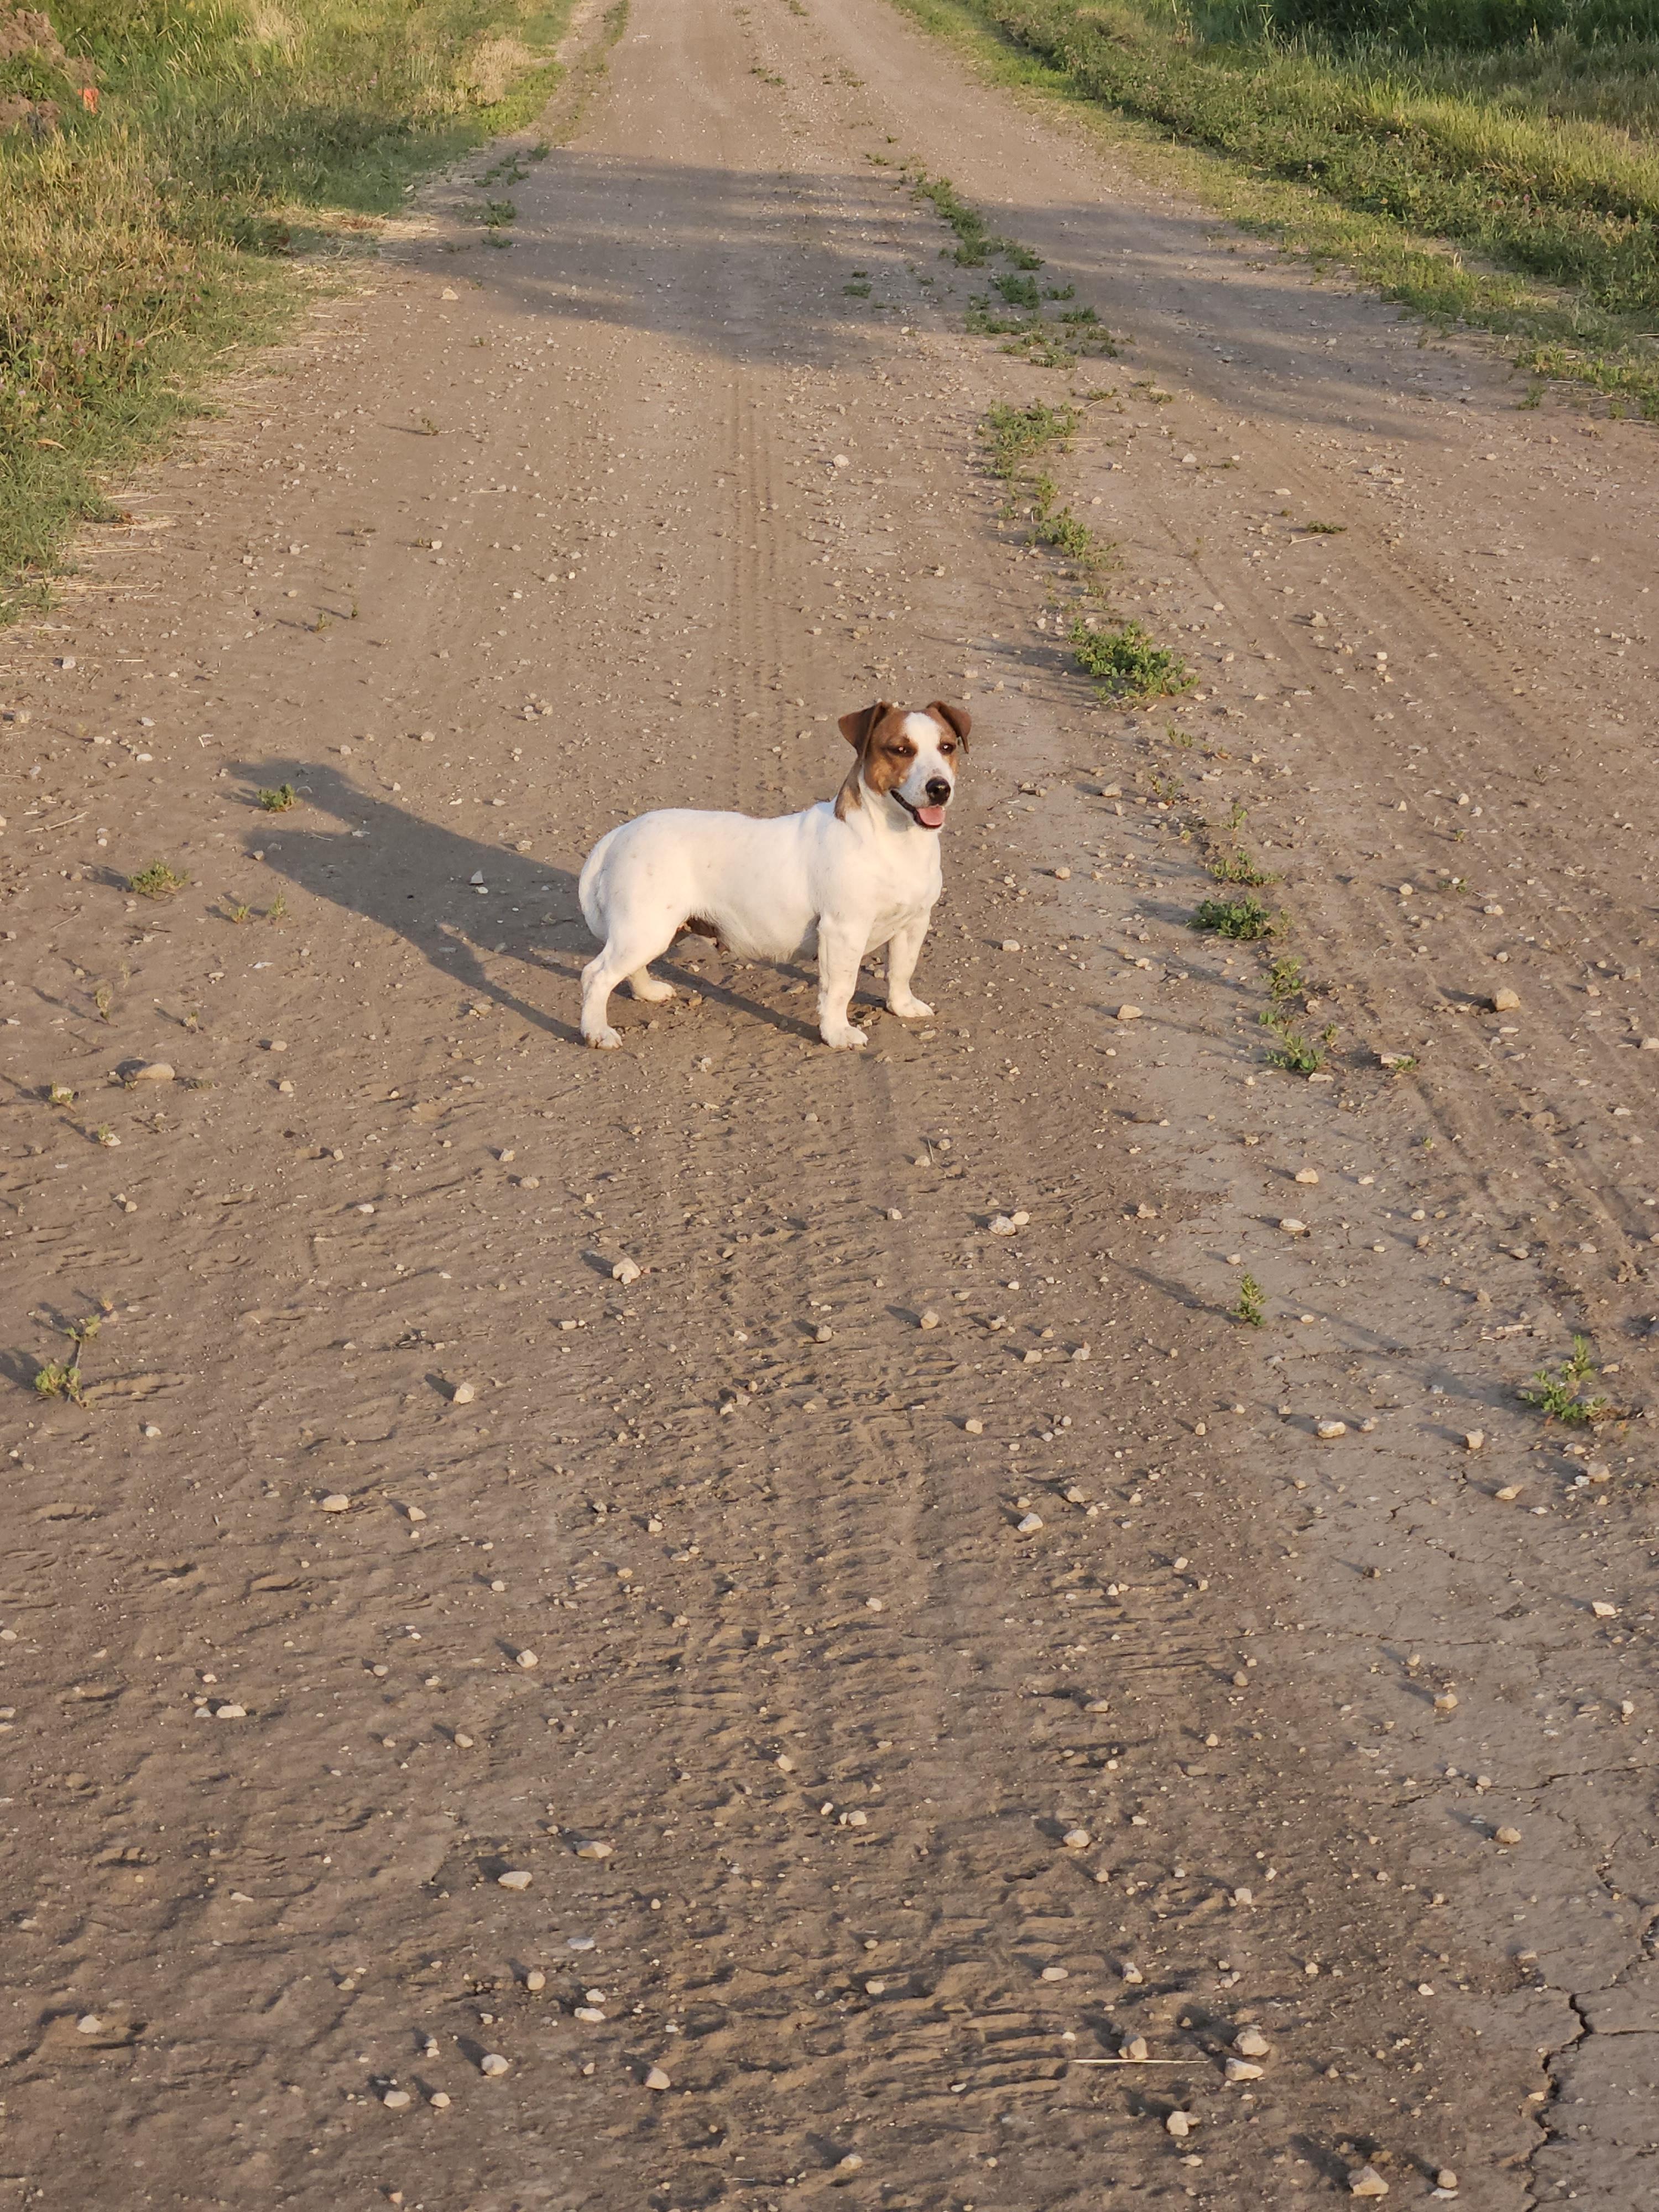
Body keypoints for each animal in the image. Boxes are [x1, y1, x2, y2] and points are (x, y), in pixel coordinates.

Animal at [577, 698, 969, 1049]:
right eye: (900, 749)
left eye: (947, 747)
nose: (939, 788)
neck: (895, 842)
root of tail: (620, 834)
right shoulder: (843, 932)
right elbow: (840, 989)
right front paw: (837, 1034)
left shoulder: (913, 925)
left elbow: (902, 971)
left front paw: (902, 1007)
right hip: (647, 929)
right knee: (596, 976)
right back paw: (597, 1032)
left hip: (658, 931)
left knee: (630, 968)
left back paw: (647, 992)